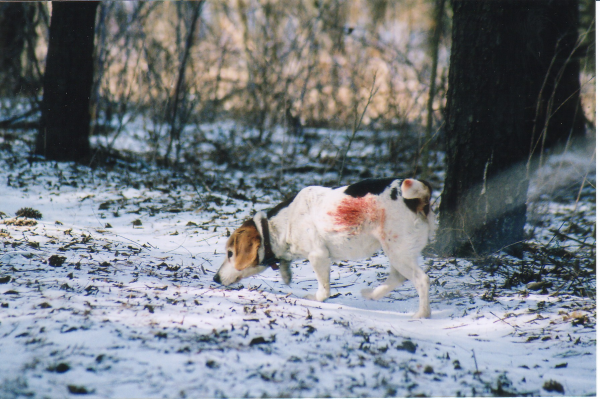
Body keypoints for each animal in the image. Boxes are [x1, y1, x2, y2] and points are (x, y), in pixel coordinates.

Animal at [213, 178, 434, 318]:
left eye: (230, 253)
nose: (215, 278)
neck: (281, 223)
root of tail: (417, 199)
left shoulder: (318, 256)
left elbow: (323, 291)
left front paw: (313, 297)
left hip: (397, 252)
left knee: (421, 280)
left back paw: (421, 314)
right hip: (397, 251)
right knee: (398, 277)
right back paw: (371, 294)